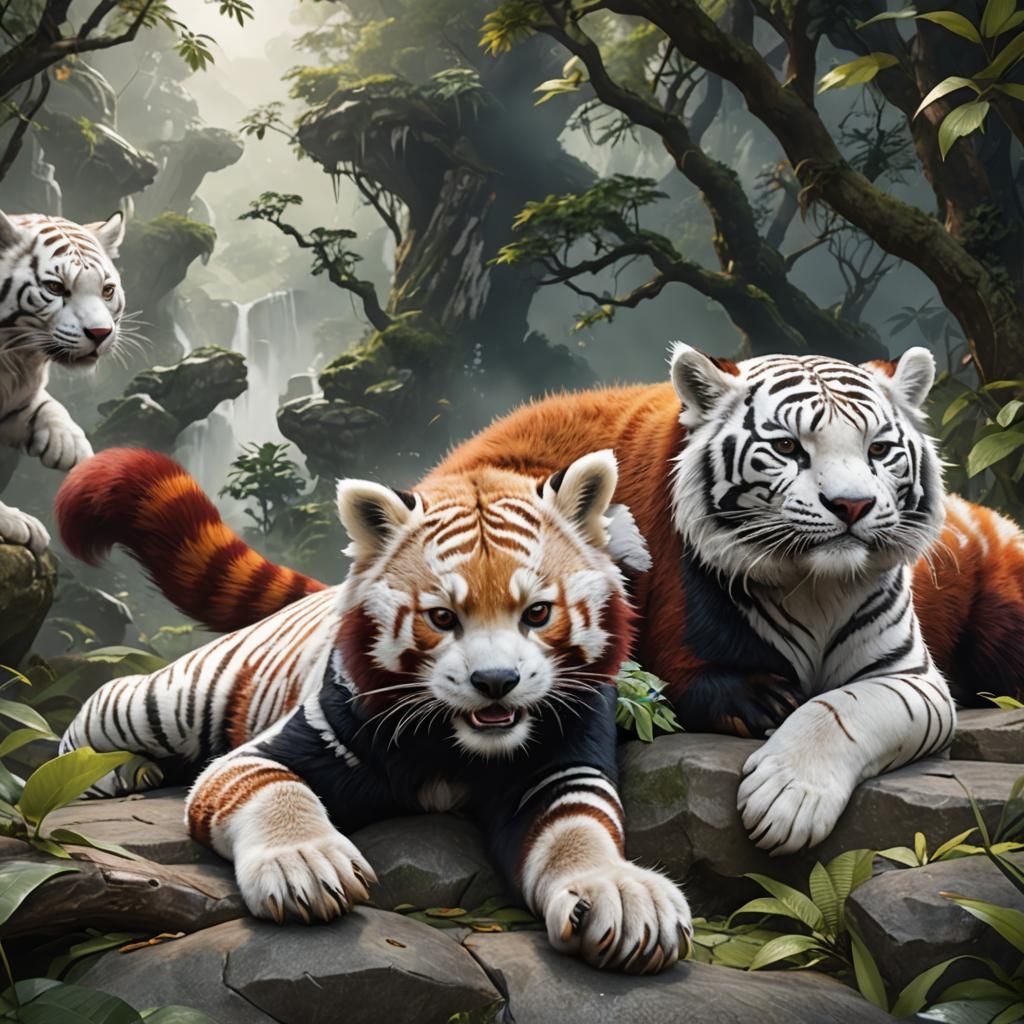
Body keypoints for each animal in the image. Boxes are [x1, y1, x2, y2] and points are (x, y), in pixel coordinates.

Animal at [0, 209, 126, 553]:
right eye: (55, 288)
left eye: (106, 290)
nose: (100, 333)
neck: (15, 355)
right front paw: (14, 522)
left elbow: (44, 405)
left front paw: (69, 445)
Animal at [58, 344, 1006, 856]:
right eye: (789, 449)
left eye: (879, 449)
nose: (852, 507)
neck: (812, 580)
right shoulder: (676, 640)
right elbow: (720, 682)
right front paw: (765, 715)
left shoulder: (912, 679)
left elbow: (845, 709)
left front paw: (787, 800)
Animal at [59, 447, 692, 973]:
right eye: (442, 617)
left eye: (537, 613)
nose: (496, 682)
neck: (456, 743)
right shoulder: (300, 737)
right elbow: (271, 786)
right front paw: (306, 864)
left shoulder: (562, 754)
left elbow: (577, 826)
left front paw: (622, 896)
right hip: (179, 697)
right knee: (111, 704)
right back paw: (108, 769)